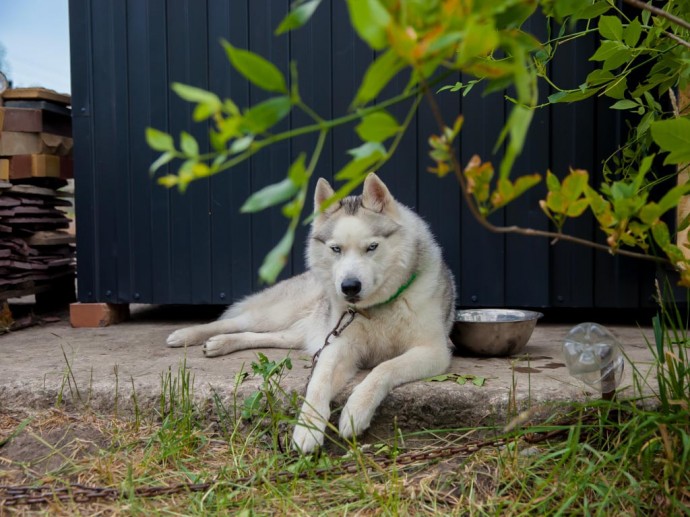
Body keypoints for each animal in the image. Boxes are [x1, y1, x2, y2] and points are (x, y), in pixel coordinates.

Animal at [166, 174, 454, 452]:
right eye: (336, 249)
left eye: (372, 247)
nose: (349, 286)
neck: (377, 308)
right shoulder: (338, 346)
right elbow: (318, 383)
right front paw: (308, 428)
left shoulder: (433, 351)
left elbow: (384, 368)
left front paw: (355, 410)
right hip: (279, 314)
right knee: (236, 322)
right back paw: (191, 335)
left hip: (302, 334)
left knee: (263, 336)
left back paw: (220, 344)